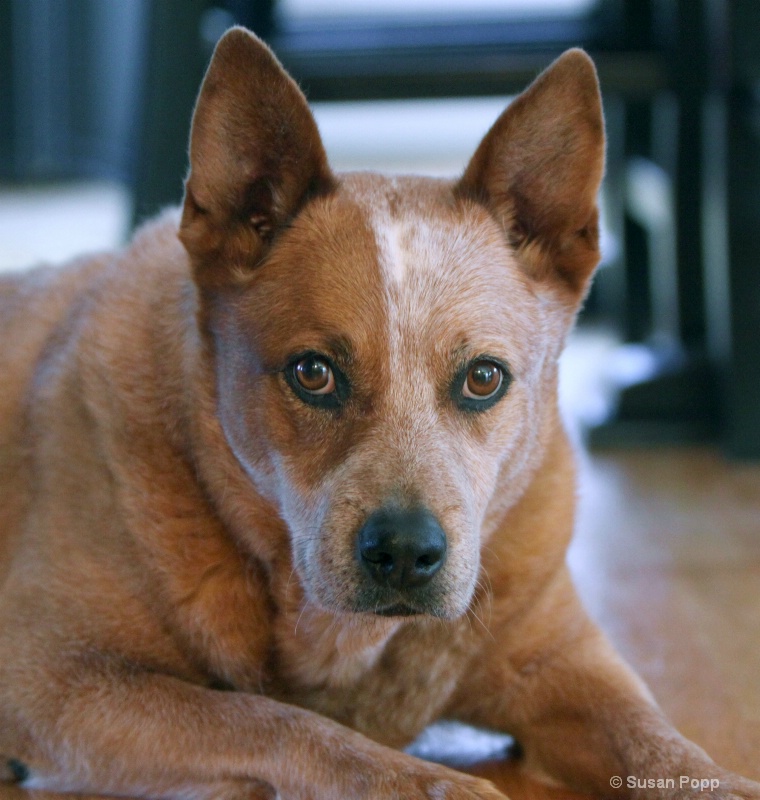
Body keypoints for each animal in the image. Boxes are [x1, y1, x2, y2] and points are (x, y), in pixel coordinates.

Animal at [1, 25, 760, 800]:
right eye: (313, 373)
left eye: (483, 378)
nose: (404, 553)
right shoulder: (53, 678)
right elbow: (272, 718)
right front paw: (430, 782)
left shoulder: (564, 664)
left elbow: (666, 746)